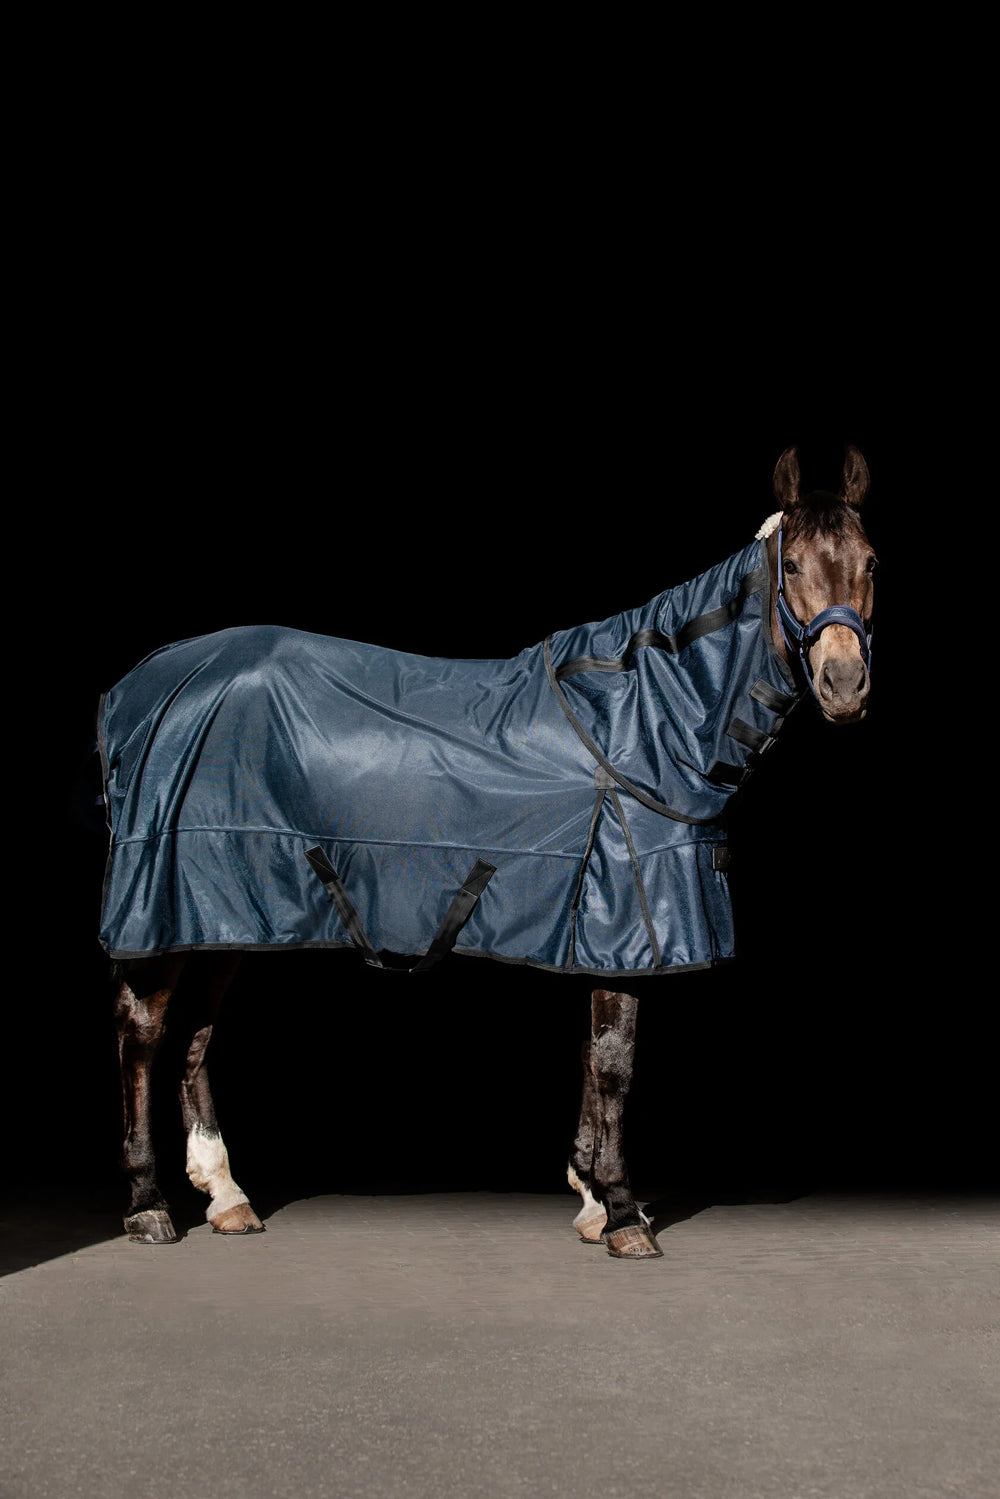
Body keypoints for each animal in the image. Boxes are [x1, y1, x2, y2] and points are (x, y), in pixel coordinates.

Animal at [105, 444, 876, 1255]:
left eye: (871, 562)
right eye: (793, 567)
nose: (844, 682)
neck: (641, 717)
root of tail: (142, 686)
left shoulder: (591, 932)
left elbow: (590, 1058)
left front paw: (589, 1195)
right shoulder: (624, 923)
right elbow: (614, 1063)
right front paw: (623, 1212)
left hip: (225, 911)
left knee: (196, 1032)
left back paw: (226, 1195)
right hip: (171, 901)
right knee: (143, 1033)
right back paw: (148, 1204)